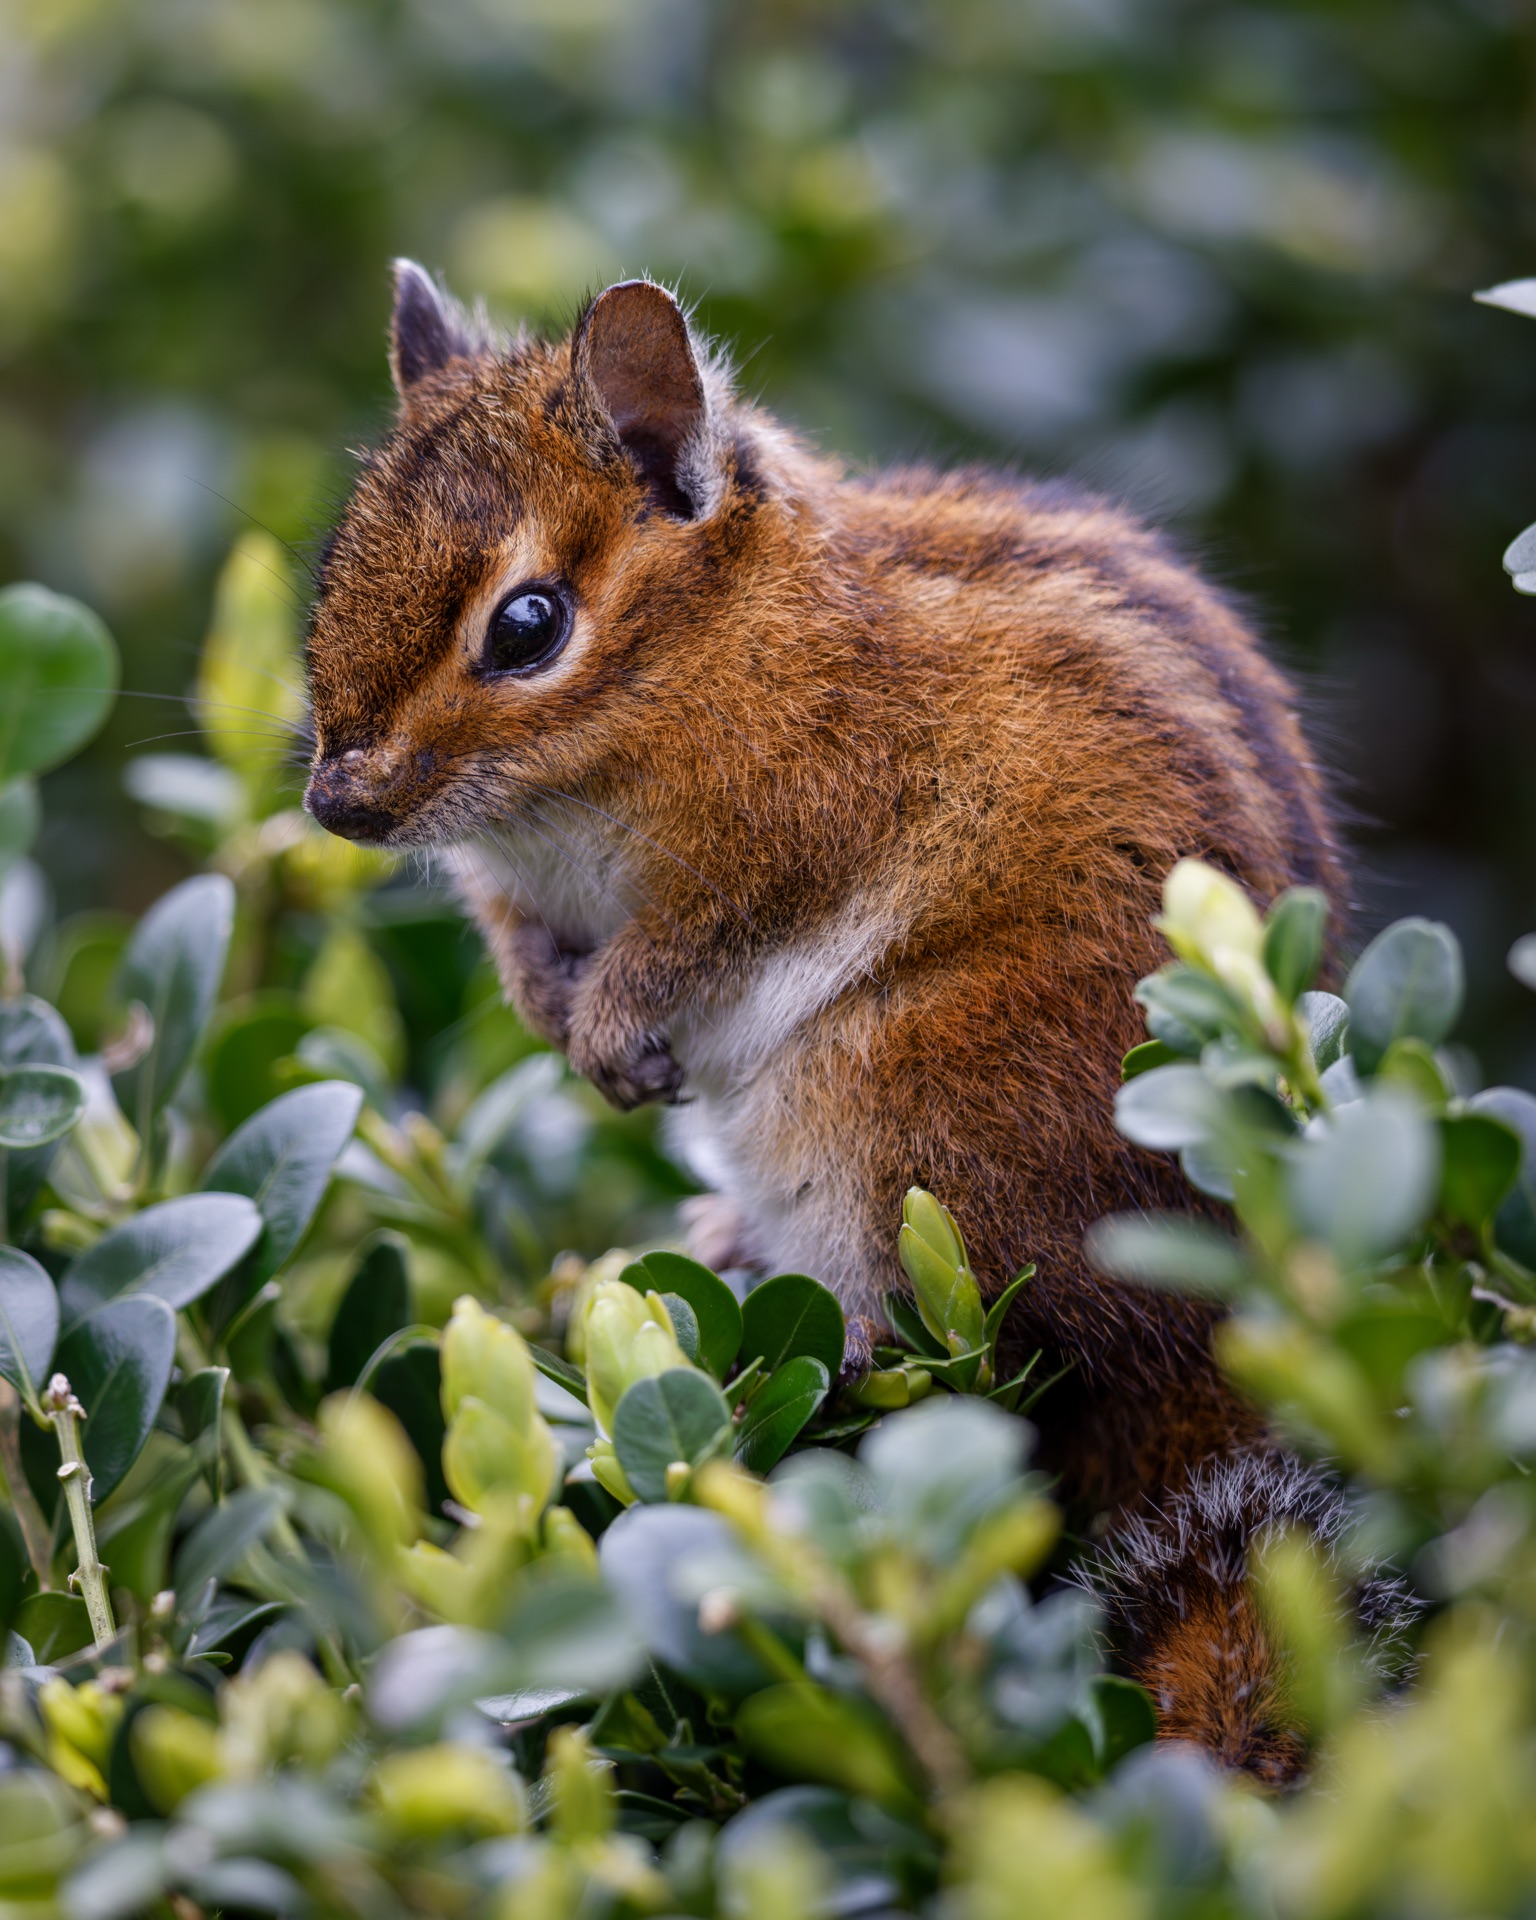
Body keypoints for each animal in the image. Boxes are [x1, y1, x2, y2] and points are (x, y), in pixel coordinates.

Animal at [304, 262, 1363, 1781]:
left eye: (528, 624)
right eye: (336, 566)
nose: (335, 803)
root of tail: (1224, 1324)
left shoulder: (794, 830)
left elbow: (689, 942)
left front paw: (612, 1022)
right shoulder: (516, 885)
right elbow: (516, 944)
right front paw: (558, 1017)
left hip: (917, 1109)